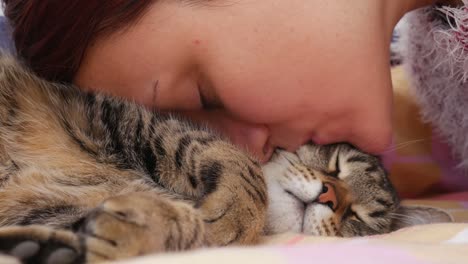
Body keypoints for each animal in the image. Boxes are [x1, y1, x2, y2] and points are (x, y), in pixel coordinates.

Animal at [0, 54, 450, 262]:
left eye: (361, 219)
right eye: (335, 160)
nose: (328, 196)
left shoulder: (48, 208)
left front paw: (146, 225)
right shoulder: (132, 119)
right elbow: (243, 168)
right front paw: (231, 217)